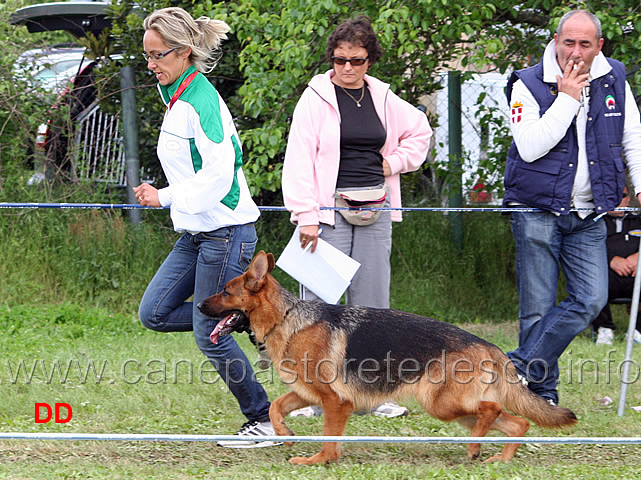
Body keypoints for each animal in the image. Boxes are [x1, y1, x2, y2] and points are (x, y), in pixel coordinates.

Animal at [198, 251, 576, 464]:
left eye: (226, 291)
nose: (198, 305)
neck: (287, 318)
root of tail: (489, 346)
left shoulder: (336, 402)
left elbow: (329, 438)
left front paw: (319, 460)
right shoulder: (308, 393)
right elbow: (276, 406)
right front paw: (286, 433)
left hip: (441, 403)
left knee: (493, 409)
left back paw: (473, 448)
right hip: (457, 410)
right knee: (518, 422)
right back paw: (500, 457)